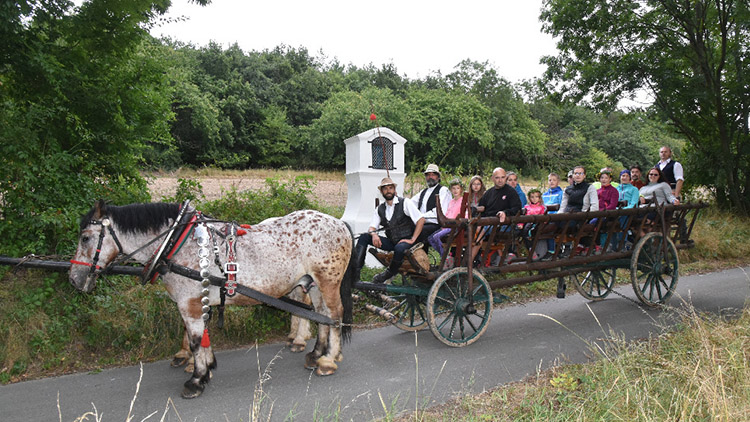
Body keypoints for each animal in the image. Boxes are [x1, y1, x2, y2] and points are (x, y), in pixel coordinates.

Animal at [70, 202, 356, 398]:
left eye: (85, 238)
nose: (74, 279)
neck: (176, 244)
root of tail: (339, 223)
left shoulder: (190, 304)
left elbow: (196, 340)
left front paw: (196, 379)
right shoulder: (198, 300)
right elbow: (200, 337)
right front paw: (206, 368)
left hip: (328, 282)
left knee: (334, 315)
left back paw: (328, 360)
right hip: (313, 283)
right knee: (320, 314)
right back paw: (316, 354)